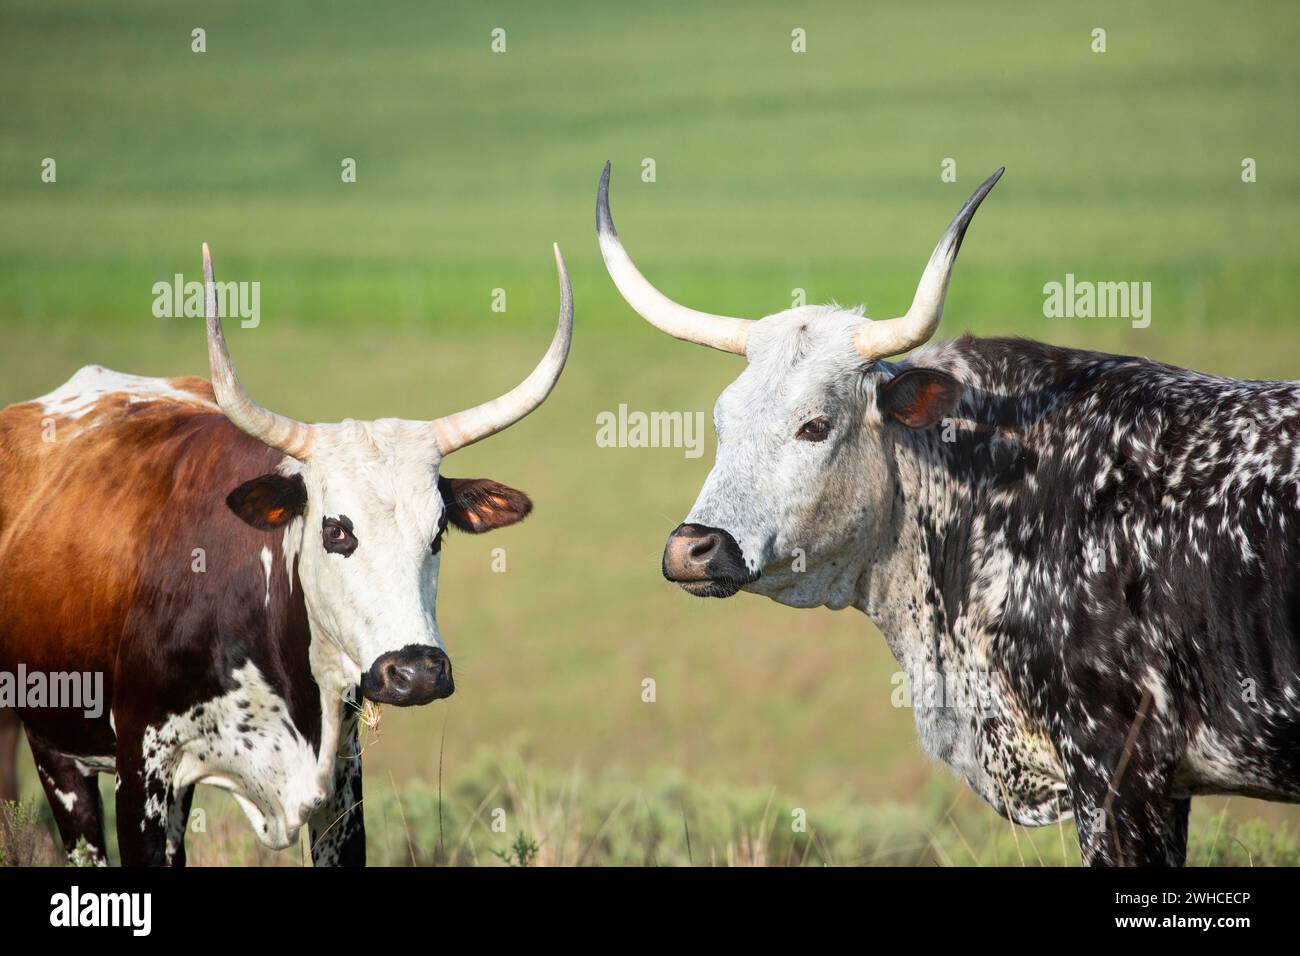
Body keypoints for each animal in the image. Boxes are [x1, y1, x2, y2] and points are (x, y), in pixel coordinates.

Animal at [0, 242, 572, 866]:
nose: (417, 673)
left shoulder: (341, 783)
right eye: (335, 530)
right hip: (57, 751)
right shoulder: (144, 777)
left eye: (439, 530)